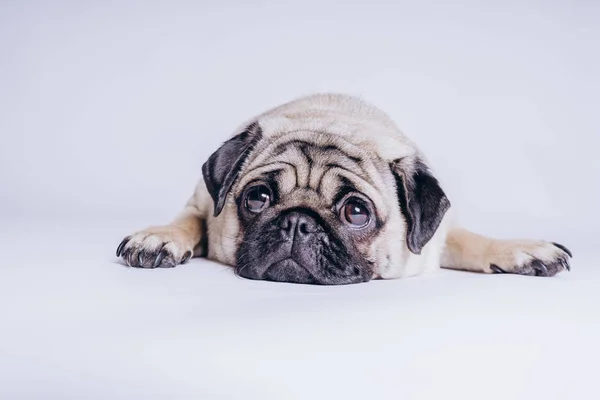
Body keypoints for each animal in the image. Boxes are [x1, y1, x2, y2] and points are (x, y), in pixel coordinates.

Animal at [116, 93, 572, 284]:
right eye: (258, 198)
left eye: (356, 212)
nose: (297, 222)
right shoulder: (200, 200)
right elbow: (189, 220)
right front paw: (160, 238)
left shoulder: (437, 239)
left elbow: (473, 240)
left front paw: (521, 250)